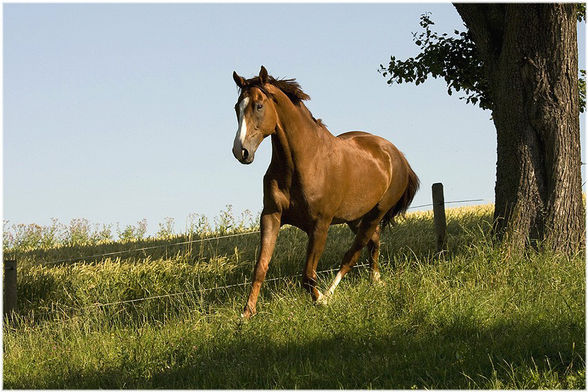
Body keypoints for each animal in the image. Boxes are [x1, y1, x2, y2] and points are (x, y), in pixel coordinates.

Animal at [230, 67, 418, 318]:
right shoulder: (271, 216)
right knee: (374, 243)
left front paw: (320, 302)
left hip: (376, 213)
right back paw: (375, 281)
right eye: (237, 107)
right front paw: (246, 315)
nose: (240, 151)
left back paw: (331, 294)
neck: (302, 162)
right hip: (356, 218)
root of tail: (395, 153)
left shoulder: (320, 225)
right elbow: (261, 267)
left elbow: (308, 275)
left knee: (353, 253)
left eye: (258, 106)